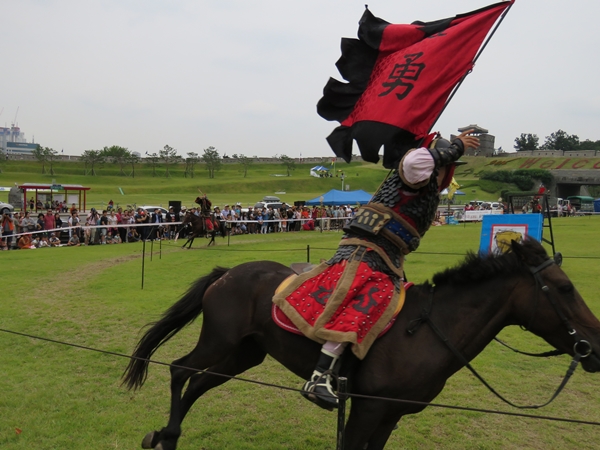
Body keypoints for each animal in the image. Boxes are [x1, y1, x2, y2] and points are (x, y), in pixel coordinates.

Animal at [122, 237, 600, 448]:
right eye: (564, 289)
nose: (594, 346)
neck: (428, 329)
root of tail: (227, 273)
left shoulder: (390, 416)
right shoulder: (366, 410)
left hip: (244, 354)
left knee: (198, 383)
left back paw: (167, 435)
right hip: (220, 343)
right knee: (181, 370)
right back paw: (167, 435)